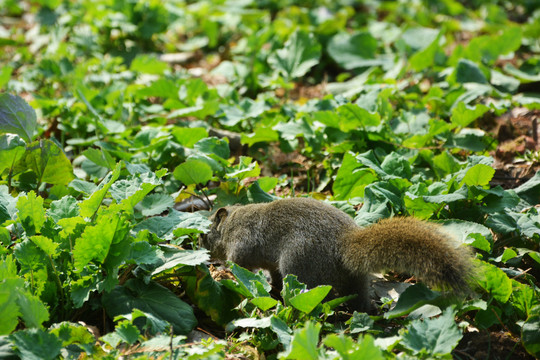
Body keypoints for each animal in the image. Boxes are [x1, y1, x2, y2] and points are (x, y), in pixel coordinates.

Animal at [199, 195, 472, 310]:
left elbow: (240, 265)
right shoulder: (271, 264)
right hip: (355, 279)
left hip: (298, 264)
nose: (203, 253)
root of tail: (343, 246)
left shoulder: (242, 243)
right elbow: (272, 275)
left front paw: (224, 273)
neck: (232, 223)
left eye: (203, 234)